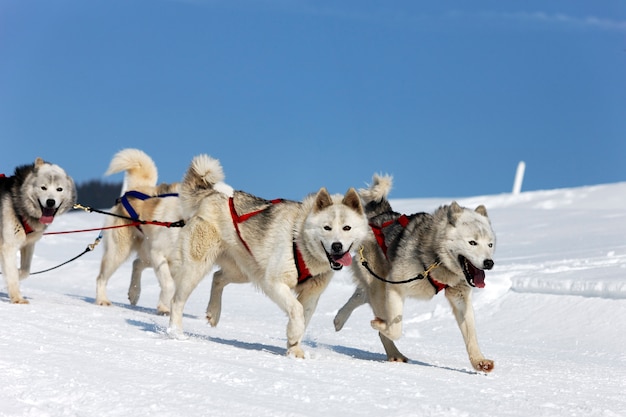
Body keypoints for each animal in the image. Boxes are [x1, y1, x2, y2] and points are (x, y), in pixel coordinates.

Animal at [0, 156, 76, 302]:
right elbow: (12, 274)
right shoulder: (9, 245)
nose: (50, 202)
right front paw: (18, 298)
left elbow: (25, 271)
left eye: (59, 189)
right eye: (43, 188)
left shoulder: (28, 244)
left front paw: (17, 274)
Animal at [167, 154, 370, 356]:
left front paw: (294, 350)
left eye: (347, 228)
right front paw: (294, 335)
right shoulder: (274, 283)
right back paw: (176, 332)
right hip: (197, 267)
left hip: (244, 271)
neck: (300, 241)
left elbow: (303, 317)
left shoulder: (311, 295)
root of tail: (212, 194)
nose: (337, 246)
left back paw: (213, 312)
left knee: (217, 277)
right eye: (326, 228)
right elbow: (296, 310)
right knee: (177, 300)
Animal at [334, 173, 494, 370]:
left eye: (490, 244)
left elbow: (471, 334)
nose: (489, 263)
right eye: (472, 242)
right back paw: (391, 349)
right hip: (380, 286)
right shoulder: (395, 287)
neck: (436, 258)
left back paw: (339, 320)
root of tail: (381, 215)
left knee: (359, 295)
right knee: (378, 316)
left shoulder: (459, 296)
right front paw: (381, 325)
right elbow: (395, 329)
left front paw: (479, 361)